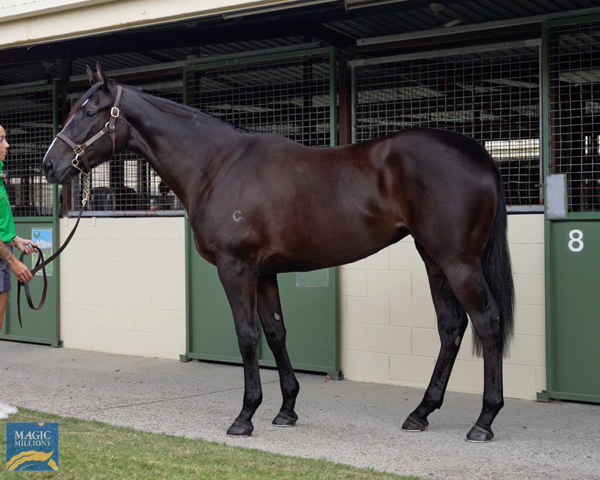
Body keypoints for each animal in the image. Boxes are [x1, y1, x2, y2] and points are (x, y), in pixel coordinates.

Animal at [42, 63, 512, 442]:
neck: (216, 165)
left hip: (457, 262)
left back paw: (484, 421)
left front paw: (245, 415)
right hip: (433, 259)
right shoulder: (265, 272)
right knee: (451, 327)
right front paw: (286, 409)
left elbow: (247, 336)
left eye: (88, 112)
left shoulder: (236, 269)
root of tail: (481, 156)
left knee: (486, 322)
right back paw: (421, 413)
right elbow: (275, 333)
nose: (49, 165)